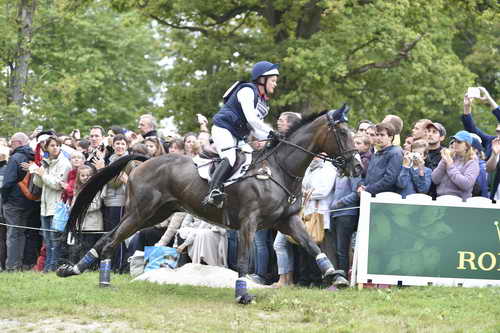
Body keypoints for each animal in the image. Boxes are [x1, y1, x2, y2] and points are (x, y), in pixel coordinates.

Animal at [58, 105, 362, 300]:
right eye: (342, 134)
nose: (358, 166)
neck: (278, 169)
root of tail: (143, 160)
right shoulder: (250, 222)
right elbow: (243, 259)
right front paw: (242, 294)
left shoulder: (286, 221)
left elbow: (312, 246)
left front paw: (336, 277)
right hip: (141, 213)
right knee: (109, 240)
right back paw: (83, 273)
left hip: (153, 215)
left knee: (109, 238)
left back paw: (90, 275)